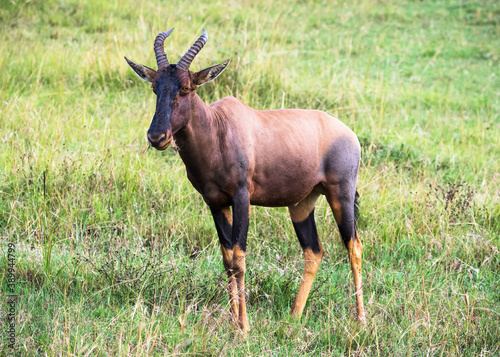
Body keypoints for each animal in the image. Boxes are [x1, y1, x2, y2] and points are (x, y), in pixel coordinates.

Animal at [126, 29, 364, 332]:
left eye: (186, 88)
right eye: (155, 87)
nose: (157, 137)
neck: (218, 128)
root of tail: (350, 134)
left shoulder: (242, 198)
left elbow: (239, 258)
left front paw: (244, 327)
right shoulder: (215, 203)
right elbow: (227, 259)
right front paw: (233, 321)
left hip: (340, 195)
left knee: (354, 247)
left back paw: (360, 320)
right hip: (301, 204)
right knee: (314, 252)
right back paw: (294, 317)